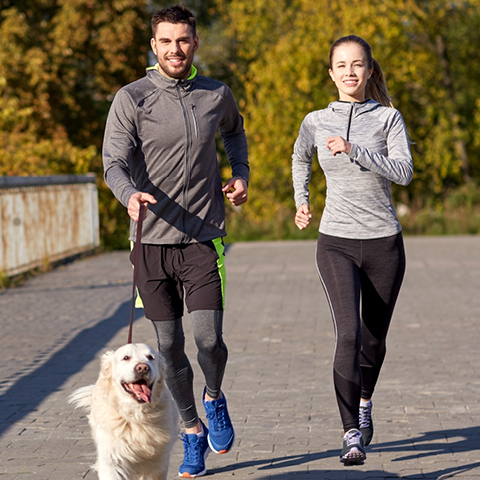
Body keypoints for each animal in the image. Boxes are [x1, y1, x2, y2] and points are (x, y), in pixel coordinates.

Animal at [69, 344, 178, 478]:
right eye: (126, 357)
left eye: (150, 357)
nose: (143, 368)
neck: (136, 415)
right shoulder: (112, 460)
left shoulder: (156, 464)